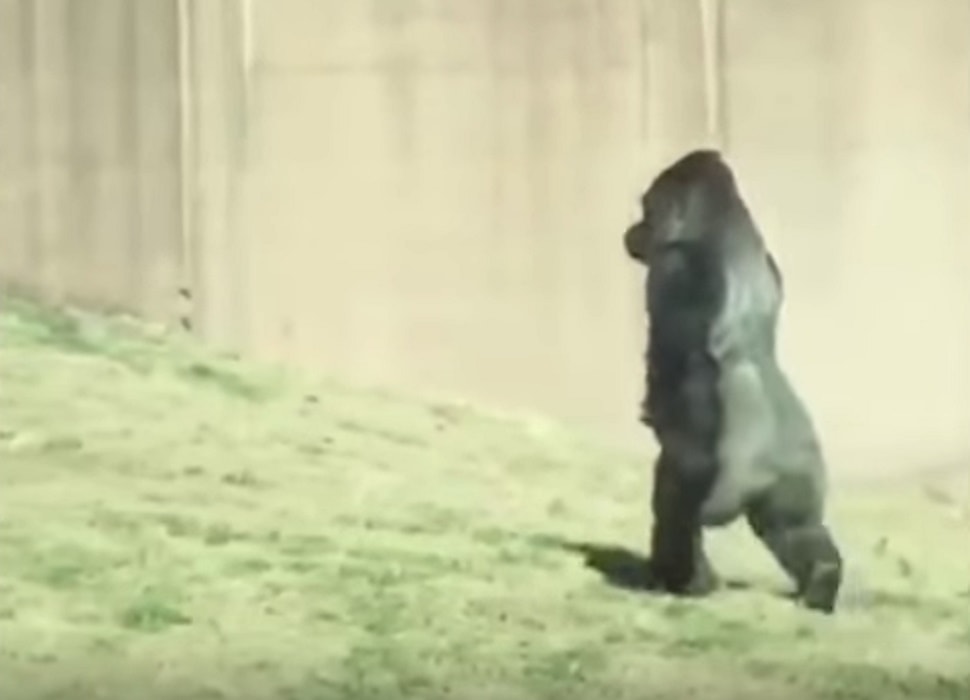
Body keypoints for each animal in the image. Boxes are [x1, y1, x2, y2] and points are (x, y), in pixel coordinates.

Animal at [622, 149, 843, 613]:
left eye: (648, 211)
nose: (631, 232)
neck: (722, 219)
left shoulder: (674, 267)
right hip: (798, 470)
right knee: (796, 530)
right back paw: (822, 581)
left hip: (710, 471)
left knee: (675, 505)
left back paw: (685, 580)